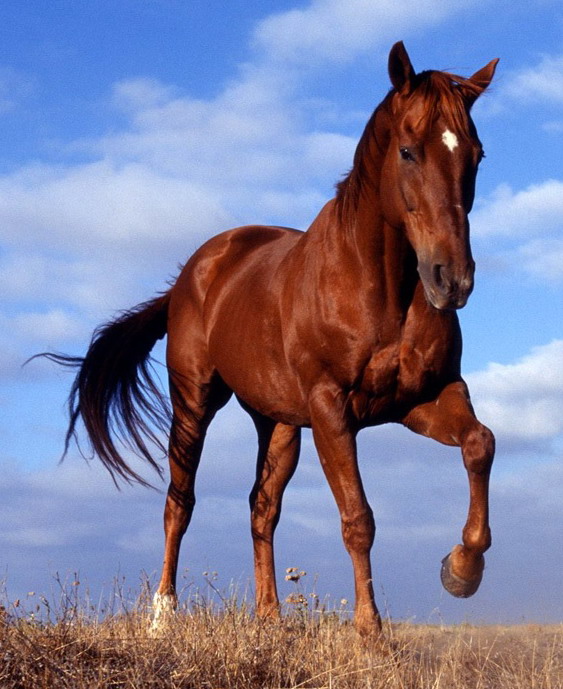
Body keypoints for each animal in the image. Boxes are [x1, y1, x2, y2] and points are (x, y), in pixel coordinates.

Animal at [45, 43, 498, 636]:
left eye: (477, 155)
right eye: (407, 151)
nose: (453, 280)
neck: (378, 288)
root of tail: (191, 275)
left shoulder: (423, 399)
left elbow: (480, 444)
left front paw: (462, 569)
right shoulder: (332, 409)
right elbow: (358, 518)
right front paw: (370, 634)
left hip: (278, 423)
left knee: (262, 508)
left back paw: (269, 620)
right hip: (194, 402)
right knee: (179, 503)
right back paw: (162, 617)